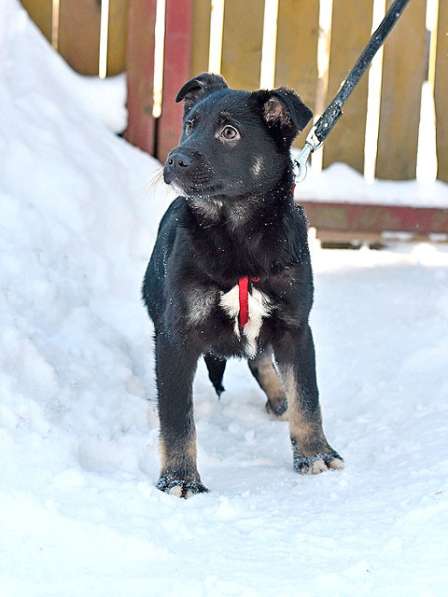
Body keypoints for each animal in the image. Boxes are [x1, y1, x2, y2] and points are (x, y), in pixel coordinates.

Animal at [144, 72, 344, 496]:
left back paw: (279, 399)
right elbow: (177, 417)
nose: (174, 159)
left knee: (263, 359)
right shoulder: (175, 335)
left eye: (229, 132)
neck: (235, 232)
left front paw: (315, 454)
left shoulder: (295, 327)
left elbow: (307, 397)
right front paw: (179, 479)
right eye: (190, 125)